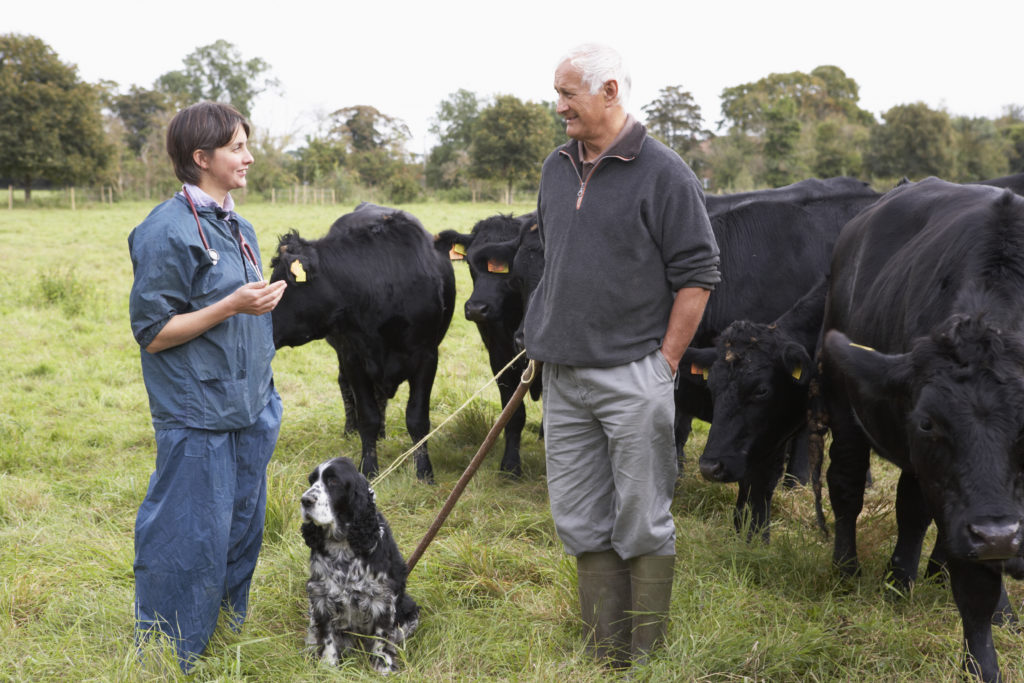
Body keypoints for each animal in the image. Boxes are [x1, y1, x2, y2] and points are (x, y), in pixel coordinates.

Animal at [270, 201, 454, 481]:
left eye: (280, 284)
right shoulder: (353, 356)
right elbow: (367, 415)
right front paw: (368, 468)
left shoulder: (427, 355)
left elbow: (417, 418)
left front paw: (424, 472)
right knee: (346, 387)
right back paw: (351, 430)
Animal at [434, 211, 544, 475]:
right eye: (470, 265)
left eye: (506, 273)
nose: (476, 308)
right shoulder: (499, 359)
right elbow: (513, 414)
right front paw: (510, 466)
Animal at [819, 179, 1024, 679]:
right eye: (928, 422)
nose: (995, 533)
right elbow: (975, 589)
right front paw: (982, 667)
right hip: (844, 406)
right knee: (847, 486)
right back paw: (850, 570)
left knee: (912, 510)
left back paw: (905, 578)